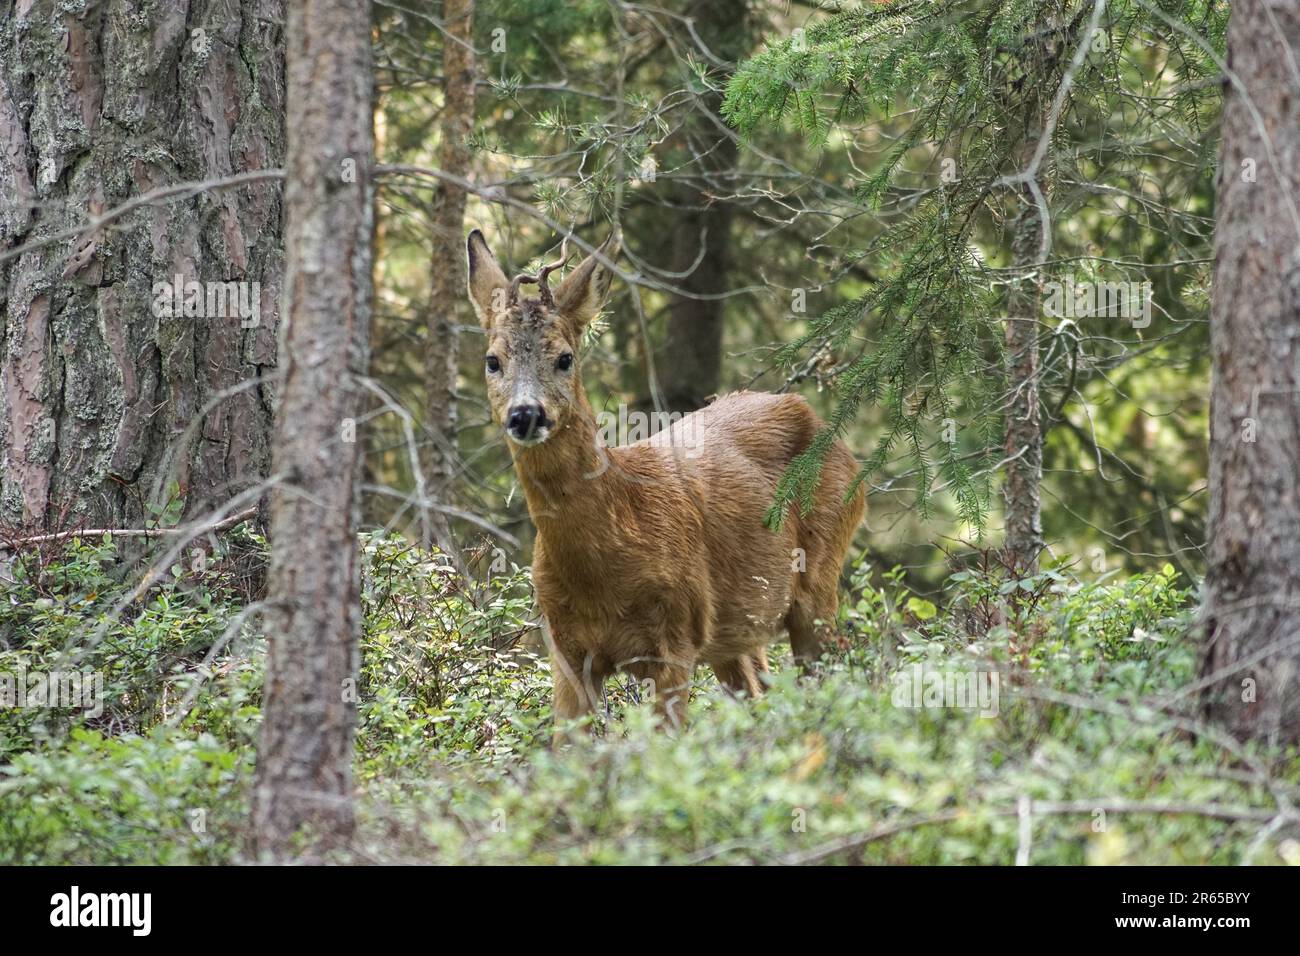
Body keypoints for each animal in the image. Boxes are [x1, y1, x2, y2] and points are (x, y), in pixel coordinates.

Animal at [465, 227, 863, 743]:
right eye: (493, 360)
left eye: (564, 358)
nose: (525, 414)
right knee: (758, 694)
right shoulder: (566, 650)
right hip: (736, 632)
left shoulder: (677, 637)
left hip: (819, 578)